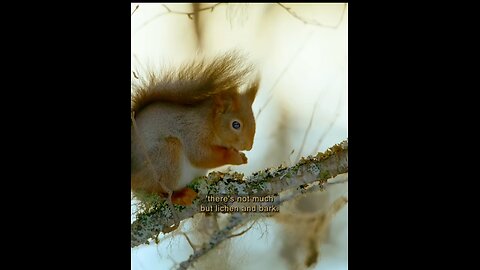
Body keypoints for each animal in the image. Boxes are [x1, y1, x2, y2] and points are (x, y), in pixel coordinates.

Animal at [130, 51, 258, 206]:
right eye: (236, 124)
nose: (249, 146)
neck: (209, 121)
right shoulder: (191, 130)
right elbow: (200, 155)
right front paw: (234, 157)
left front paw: (242, 157)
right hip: (164, 157)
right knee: (156, 190)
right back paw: (179, 196)